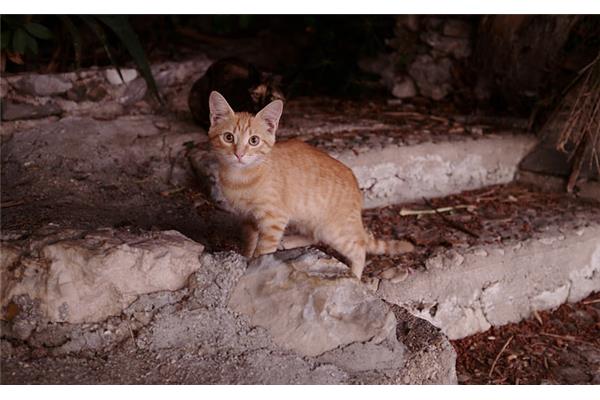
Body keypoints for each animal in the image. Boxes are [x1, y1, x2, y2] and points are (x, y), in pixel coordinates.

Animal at [206, 91, 412, 280]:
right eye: (228, 137)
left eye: (254, 140)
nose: (239, 154)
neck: (240, 178)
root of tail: (356, 185)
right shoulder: (247, 218)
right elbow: (249, 242)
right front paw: (246, 257)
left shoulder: (274, 219)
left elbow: (263, 250)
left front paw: (255, 267)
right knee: (314, 235)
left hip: (334, 230)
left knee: (359, 247)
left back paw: (355, 276)